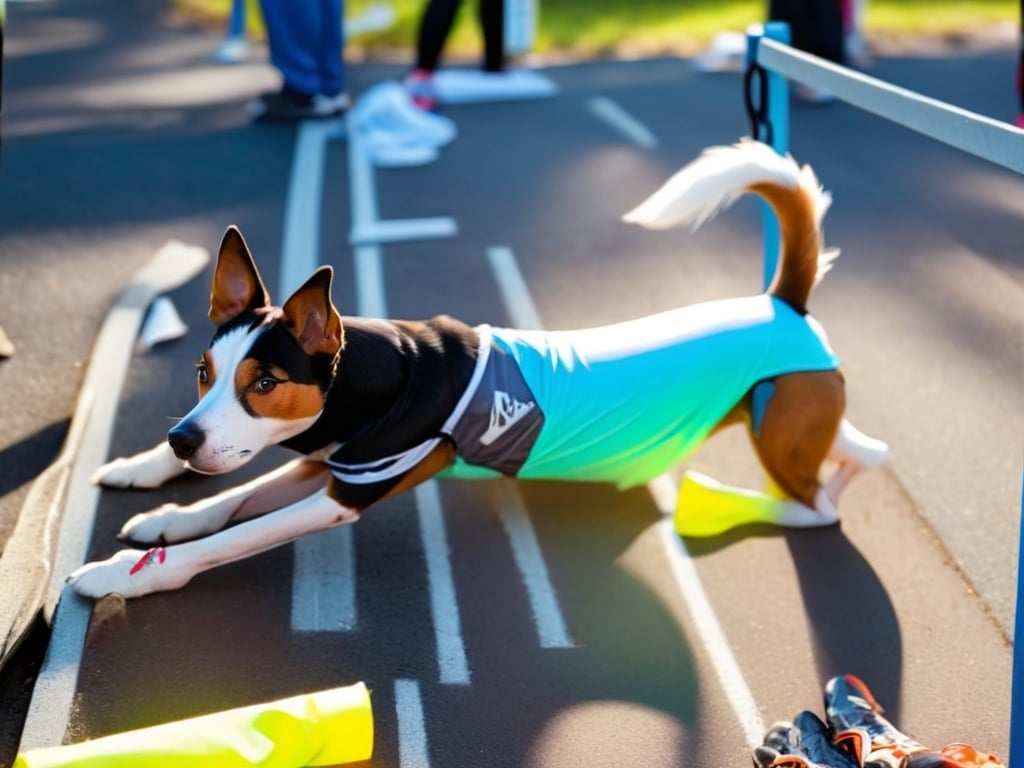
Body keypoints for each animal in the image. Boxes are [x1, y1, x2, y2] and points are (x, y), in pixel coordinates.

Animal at [70, 143, 888, 602]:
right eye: (203, 371)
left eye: (264, 385)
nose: (178, 440)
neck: (379, 376)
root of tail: (782, 302)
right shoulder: (336, 458)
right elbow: (227, 501)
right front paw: (160, 505)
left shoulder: (348, 489)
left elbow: (229, 536)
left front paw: (124, 573)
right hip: (795, 411)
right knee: (861, 452)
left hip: (778, 428)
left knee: (819, 505)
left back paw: (752, 506)